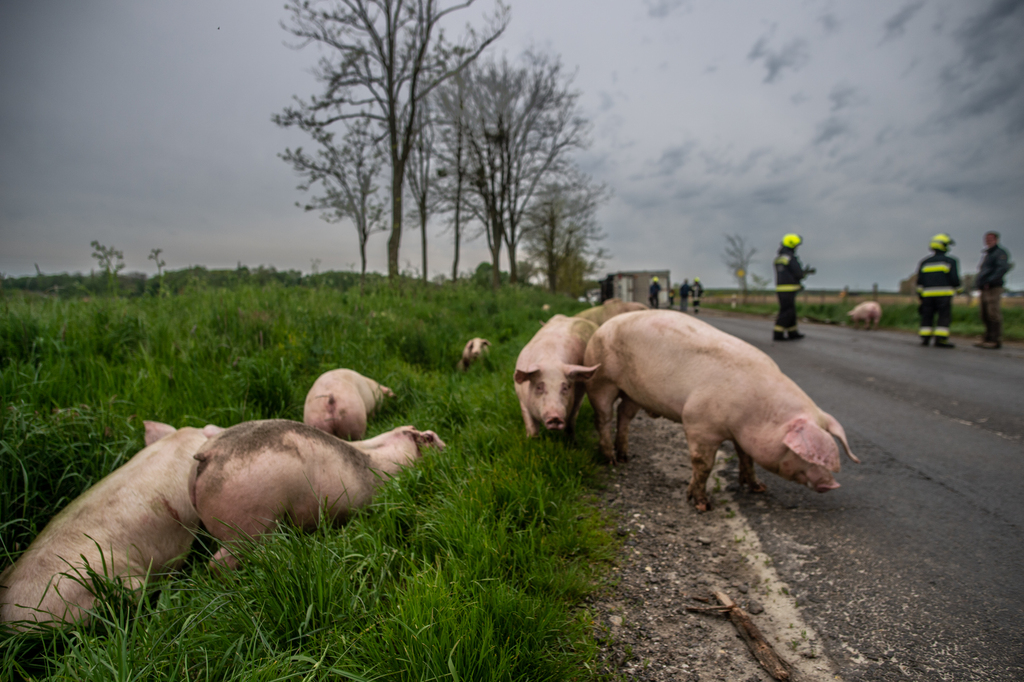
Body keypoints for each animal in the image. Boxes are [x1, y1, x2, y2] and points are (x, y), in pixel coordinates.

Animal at [581, 311, 860, 507]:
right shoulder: (698, 423)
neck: (757, 413)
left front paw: (758, 488)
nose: (832, 484)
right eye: (803, 454)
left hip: (635, 393)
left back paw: (626, 456)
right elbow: (703, 464)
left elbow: (746, 457)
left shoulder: (741, 435)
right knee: (603, 417)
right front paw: (701, 505)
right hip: (601, 379)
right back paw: (611, 460)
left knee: (624, 416)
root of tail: (603, 326)